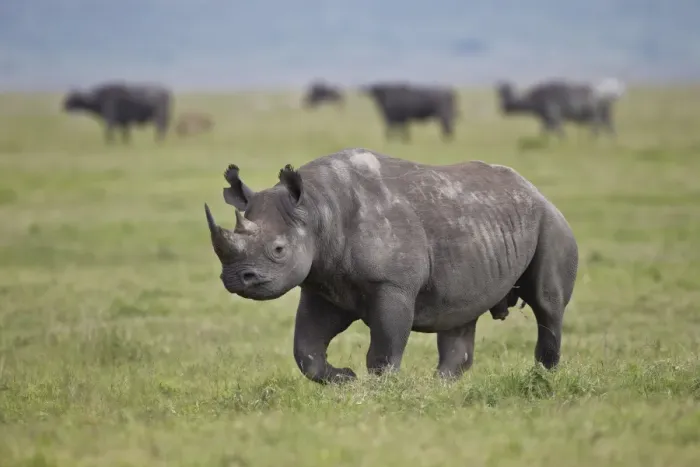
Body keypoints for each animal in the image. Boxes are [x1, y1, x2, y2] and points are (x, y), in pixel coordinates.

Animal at [204, 148, 578, 384]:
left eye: (279, 249)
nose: (236, 278)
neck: (316, 209)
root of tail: (537, 191)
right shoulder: (321, 284)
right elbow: (305, 351)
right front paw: (345, 379)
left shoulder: (392, 285)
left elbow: (384, 347)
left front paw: (381, 390)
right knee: (460, 313)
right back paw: (440, 388)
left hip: (551, 223)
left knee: (547, 305)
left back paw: (542, 377)